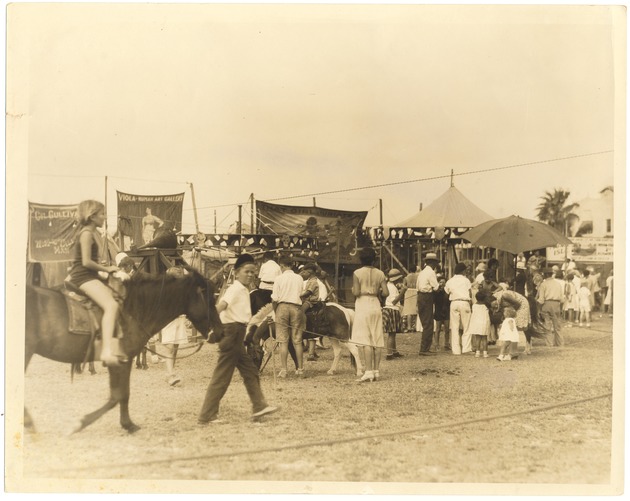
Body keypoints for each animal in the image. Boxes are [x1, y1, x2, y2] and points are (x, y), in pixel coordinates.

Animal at [25, 268, 223, 432]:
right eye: (210, 300)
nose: (220, 332)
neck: (132, 311)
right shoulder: (121, 361)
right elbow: (120, 395)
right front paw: (121, 424)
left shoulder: (120, 362)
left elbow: (119, 395)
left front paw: (124, 423)